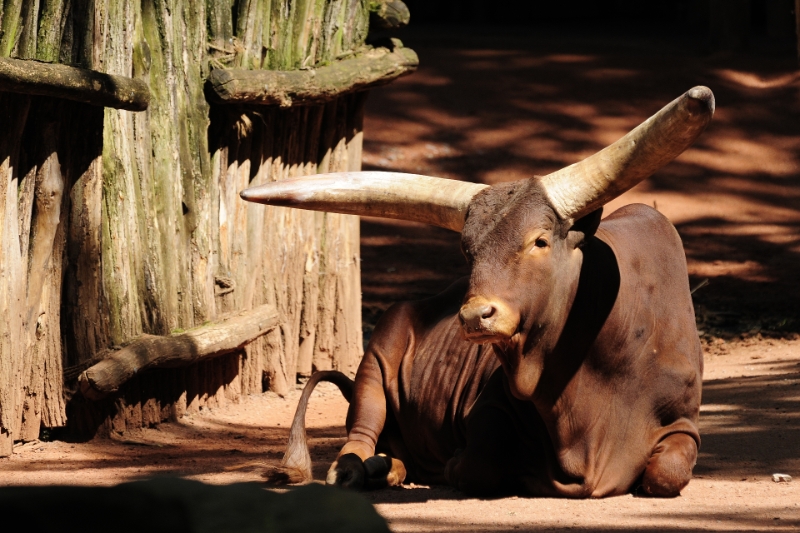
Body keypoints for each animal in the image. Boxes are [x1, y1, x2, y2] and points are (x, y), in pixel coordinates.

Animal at [242, 85, 712, 496]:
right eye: (468, 250)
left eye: (540, 241)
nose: (474, 316)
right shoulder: (489, 406)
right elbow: (478, 464)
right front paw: (455, 464)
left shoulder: (685, 424)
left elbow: (666, 473)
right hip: (374, 363)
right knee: (358, 437)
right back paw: (367, 468)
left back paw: (389, 467)